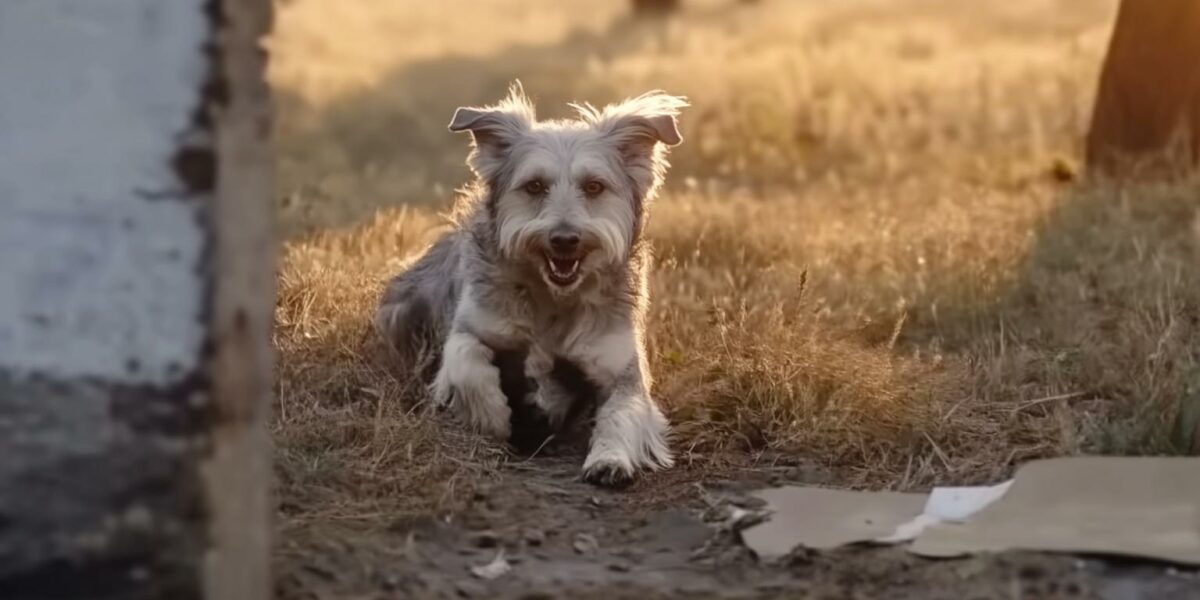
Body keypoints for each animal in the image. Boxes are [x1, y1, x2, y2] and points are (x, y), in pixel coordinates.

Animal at [374, 85, 686, 487]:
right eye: (534, 185)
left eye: (594, 186)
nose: (564, 239)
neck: (553, 299)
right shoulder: (472, 328)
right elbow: (467, 362)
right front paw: (491, 415)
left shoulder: (622, 372)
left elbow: (622, 414)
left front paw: (611, 458)